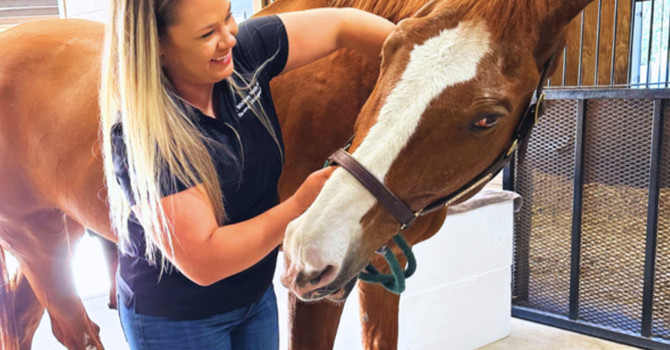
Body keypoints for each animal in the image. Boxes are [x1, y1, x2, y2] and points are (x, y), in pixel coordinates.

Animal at [0, 0, 596, 350]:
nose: (310, 244)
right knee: (69, 328)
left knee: (20, 316)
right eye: (388, 54)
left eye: (486, 118)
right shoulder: (315, 292)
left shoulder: (376, 267)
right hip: (38, 238)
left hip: (59, 230)